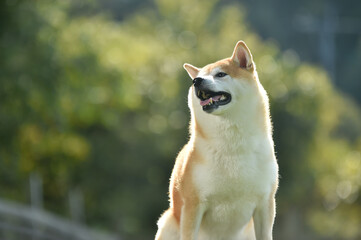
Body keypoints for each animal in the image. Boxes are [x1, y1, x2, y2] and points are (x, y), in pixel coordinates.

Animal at [155, 41, 278, 240]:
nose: (196, 81)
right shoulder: (193, 205)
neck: (233, 144)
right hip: (169, 222)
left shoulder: (265, 204)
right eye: (199, 77)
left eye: (220, 74)